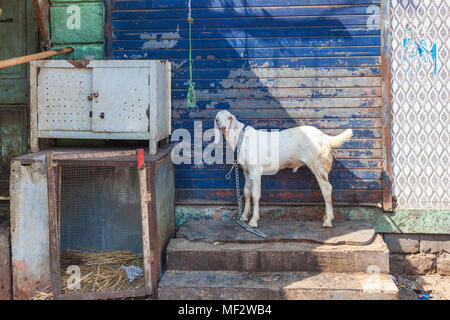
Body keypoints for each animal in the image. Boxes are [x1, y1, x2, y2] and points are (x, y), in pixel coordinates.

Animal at [213, 110, 354, 228]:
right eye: (217, 119)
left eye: (229, 118)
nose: (223, 128)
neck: (241, 138)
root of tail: (324, 137)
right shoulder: (246, 171)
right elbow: (246, 193)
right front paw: (243, 217)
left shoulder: (256, 170)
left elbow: (255, 195)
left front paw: (253, 221)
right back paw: (326, 217)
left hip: (316, 162)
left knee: (326, 188)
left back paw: (328, 220)